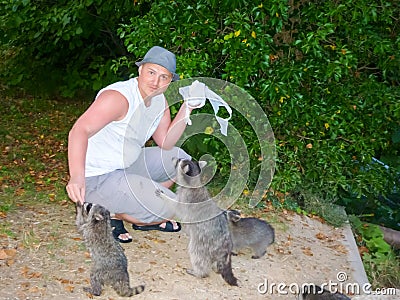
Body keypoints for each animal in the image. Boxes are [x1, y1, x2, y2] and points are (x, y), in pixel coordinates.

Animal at [155, 157, 238, 286]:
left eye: (178, 160)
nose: (173, 157)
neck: (194, 182)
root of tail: (225, 243)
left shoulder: (185, 198)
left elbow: (176, 207)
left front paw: (165, 197)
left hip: (203, 242)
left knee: (197, 255)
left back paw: (199, 272)